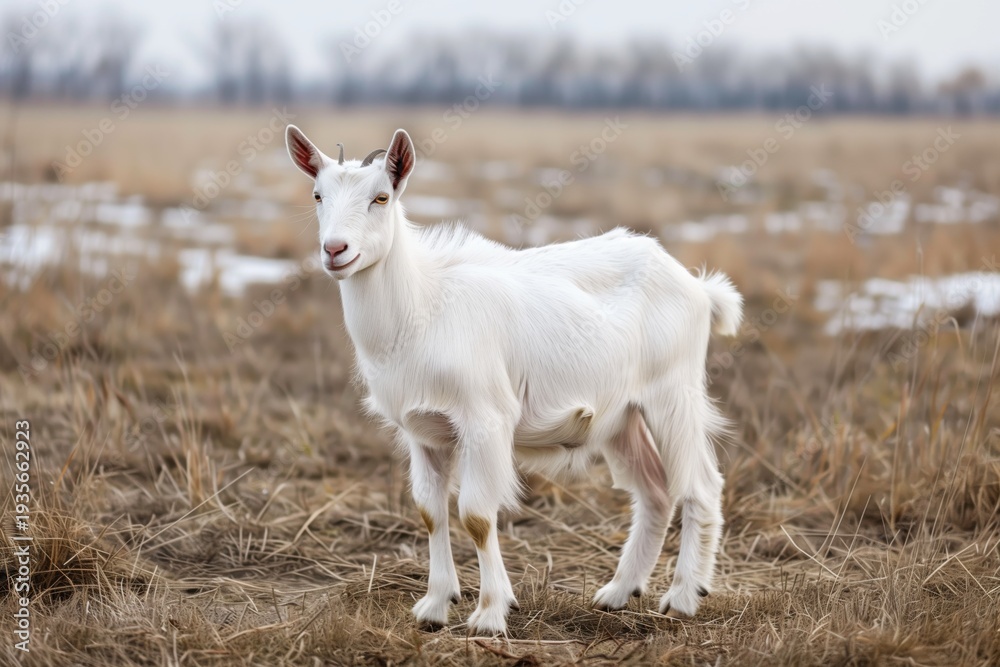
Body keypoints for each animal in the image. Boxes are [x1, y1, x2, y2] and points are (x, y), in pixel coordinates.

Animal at [285, 125, 743, 635]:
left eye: (381, 197)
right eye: (317, 194)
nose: (335, 250)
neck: (422, 305)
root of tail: (699, 288)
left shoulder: (486, 419)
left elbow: (476, 516)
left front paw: (489, 614)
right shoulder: (423, 432)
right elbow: (430, 511)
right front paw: (435, 606)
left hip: (672, 394)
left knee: (700, 485)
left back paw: (683, 597)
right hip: (621, 417)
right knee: (655, 491)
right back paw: (618, 593)